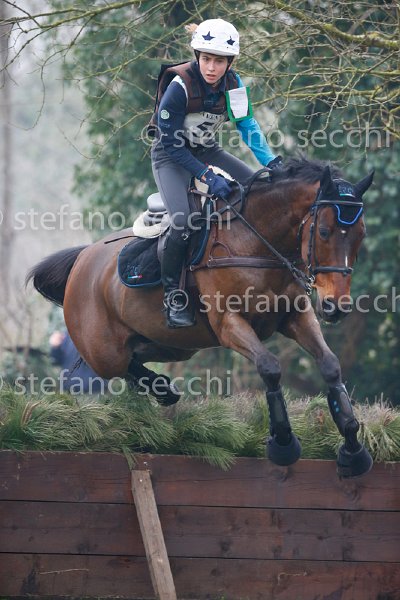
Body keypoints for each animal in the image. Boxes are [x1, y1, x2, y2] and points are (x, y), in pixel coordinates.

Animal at [27, 157, 374, 478]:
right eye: (325, 231)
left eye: (361, 235)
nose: (336, 307)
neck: (256, 241)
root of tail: (83, 257)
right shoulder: (229, 324)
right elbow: (270, 367)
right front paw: (283, 443)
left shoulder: (296, 317)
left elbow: (330, 366)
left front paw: (353, 448)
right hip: (104, 352)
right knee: (116, 366)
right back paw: (162, 389)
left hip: (171, 345)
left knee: (136, 359)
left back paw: (163, 389)